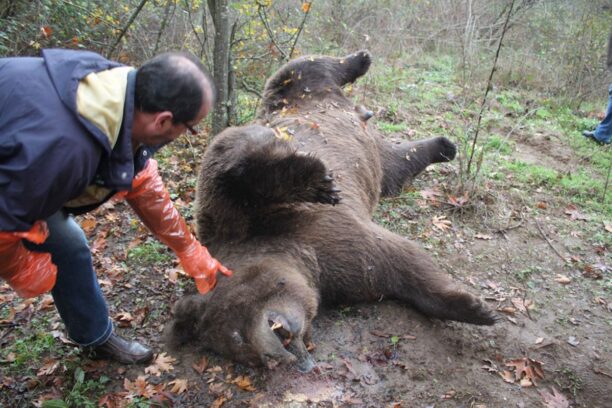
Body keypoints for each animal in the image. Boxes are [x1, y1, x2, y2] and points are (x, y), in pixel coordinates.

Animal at [169, 49, 498, 372]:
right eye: (239, 347)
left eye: (237, 334)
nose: (278, 353)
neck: (298, 255)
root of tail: (352, 108)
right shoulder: (344, 272)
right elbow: (402, 270)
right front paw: (476, 309)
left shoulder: (250, 216)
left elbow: (234, 160)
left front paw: (317, 181)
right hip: (378, 163)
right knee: (400, 162)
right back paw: (443, 146)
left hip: (292, 91)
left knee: (308, 67)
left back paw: (361, 60)